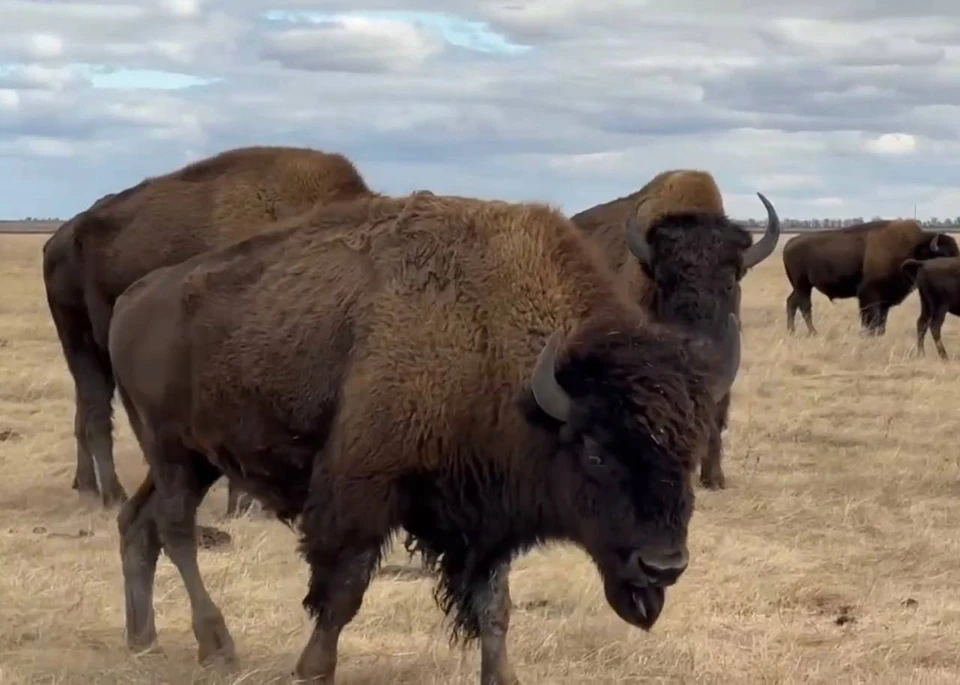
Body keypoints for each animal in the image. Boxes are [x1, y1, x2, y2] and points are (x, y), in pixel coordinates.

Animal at [43, 146, 376, 512]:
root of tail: (60, 239)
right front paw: (242, 505)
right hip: (81, 343)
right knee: (97, 415)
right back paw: (113, 495)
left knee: (85, 412)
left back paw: (88, 486)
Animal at [110, 191, 744, 684]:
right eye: (596, 452)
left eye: (687, 455)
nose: (663, 566)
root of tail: (130, 299)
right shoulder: (361, 494)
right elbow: (341, 594)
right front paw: (312, 669)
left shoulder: (486, 516)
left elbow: (495, 606)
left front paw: (502, 677)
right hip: (172, 450)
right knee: (176, 529)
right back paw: (216, 644)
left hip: (196, 458)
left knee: (138, 523)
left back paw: (142, 636)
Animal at [784, 218, 956, 336]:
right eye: (944, 255)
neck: (911, 249)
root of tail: (789, 244)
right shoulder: (869, 296)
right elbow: (871, 320)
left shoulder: (885, 300)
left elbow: (881, 323)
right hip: (803, 285)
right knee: (805, 306)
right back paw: (813, 333)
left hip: (800, 286)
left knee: (792, 302)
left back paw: (792, 332)